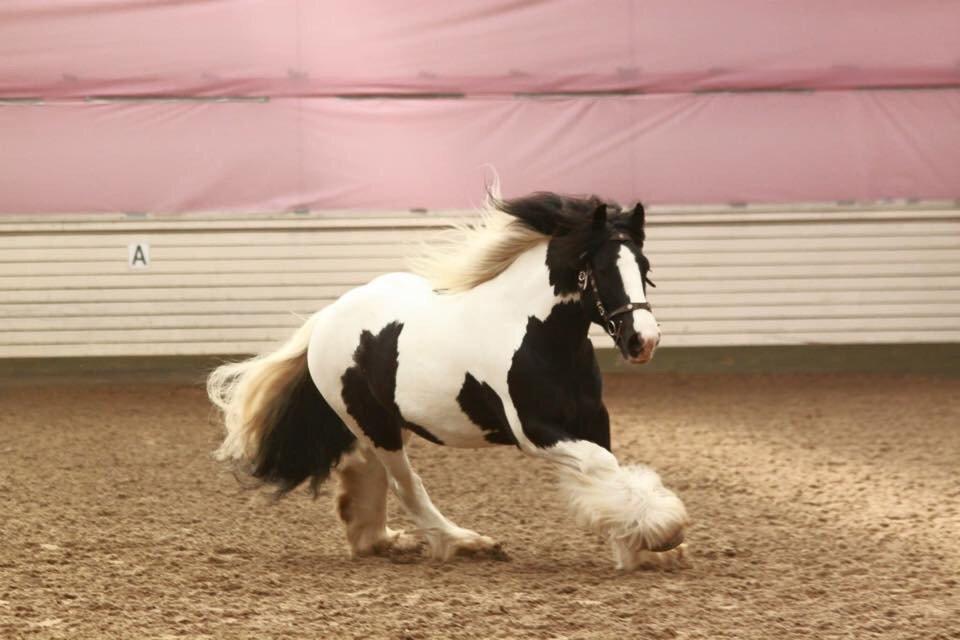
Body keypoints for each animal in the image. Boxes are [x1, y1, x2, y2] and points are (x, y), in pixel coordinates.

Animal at [210, 191, 688, 568]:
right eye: (603, 269)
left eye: (644, 266)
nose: (643, 340)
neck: (537, 335)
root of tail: (326, 318)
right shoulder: (534, 432)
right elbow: (600, 467)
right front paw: (662, 532)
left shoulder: (591, 421)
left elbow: (608, 473)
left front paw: (637, 544)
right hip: (375, 424)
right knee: (405, 485)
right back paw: (463, 544)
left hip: (381, 423)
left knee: (366, 470)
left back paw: (380, 542)